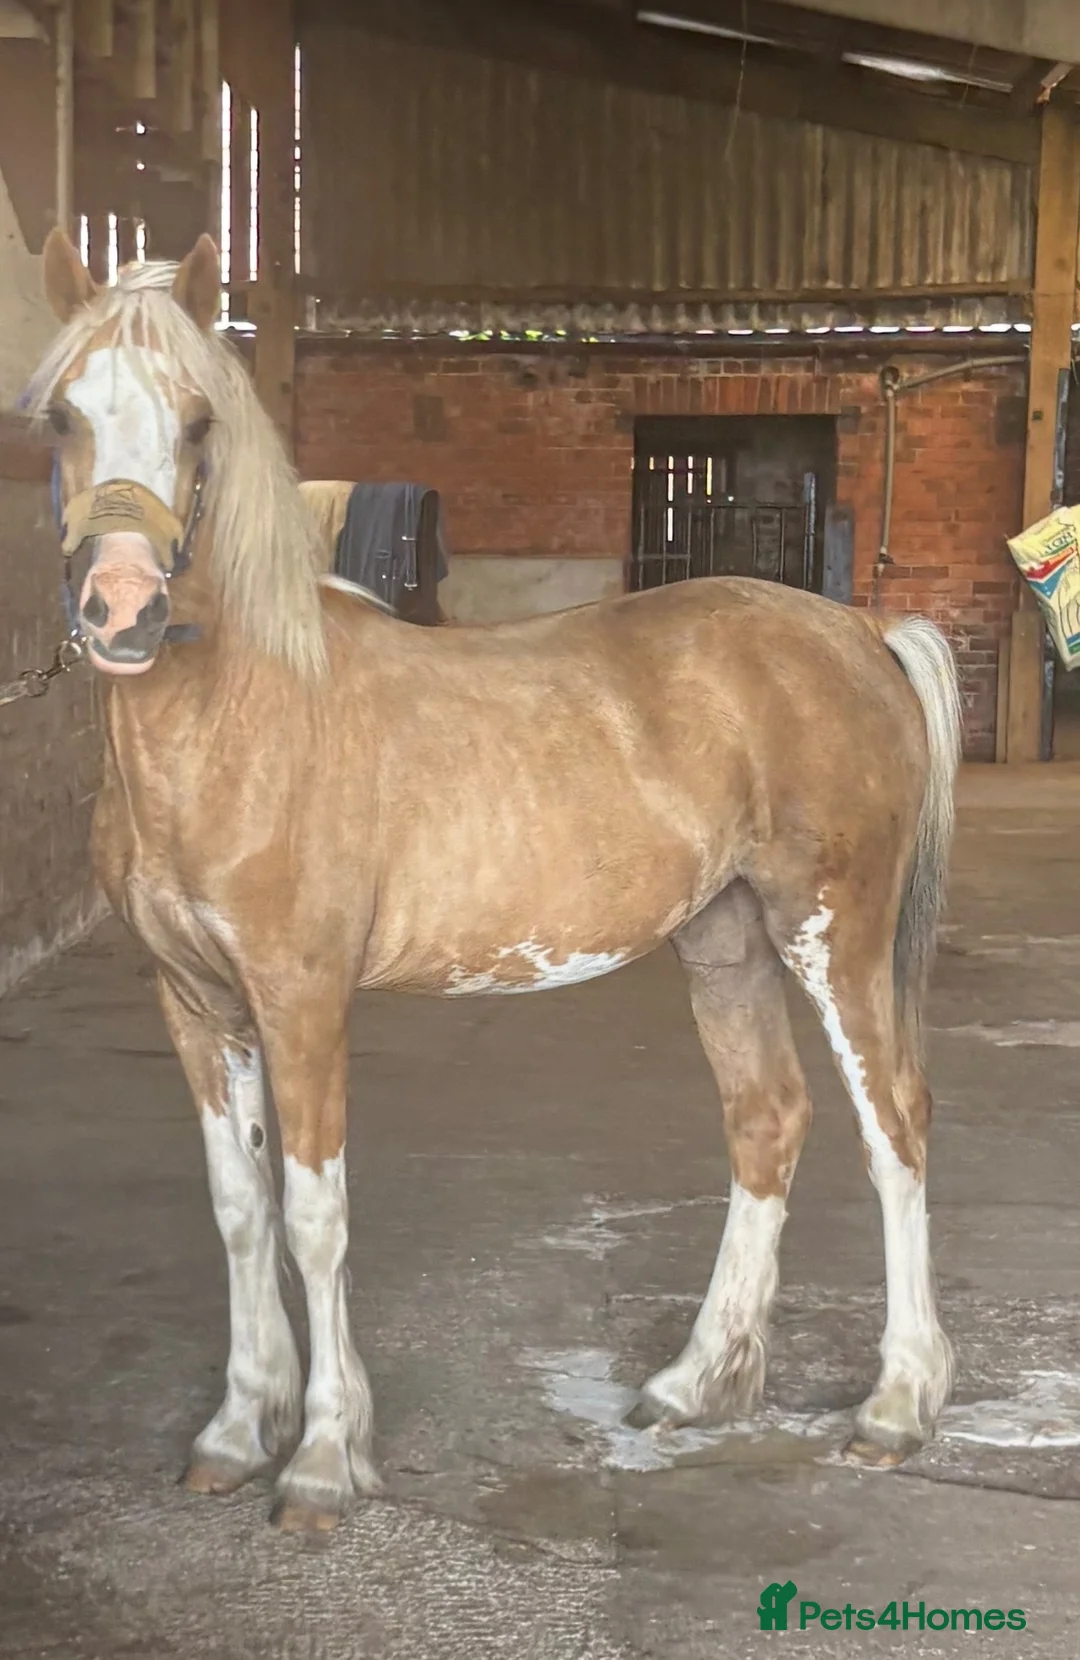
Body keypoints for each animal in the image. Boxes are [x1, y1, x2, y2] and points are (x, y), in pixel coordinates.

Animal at [27, 229, 961, 1532]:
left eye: (199, 420)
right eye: (63, 415)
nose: (122, 609)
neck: (239, 716)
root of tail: (864, 632)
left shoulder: (302, 999)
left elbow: (313, 1217)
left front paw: (322, 1459)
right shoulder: (198, 1005)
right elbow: (239, 1210)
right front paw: (236, 1429)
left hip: (835, 933)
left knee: (896, 1127)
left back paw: (896, 1405)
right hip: (726, 940)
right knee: (767, 1119)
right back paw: (694, 1383)